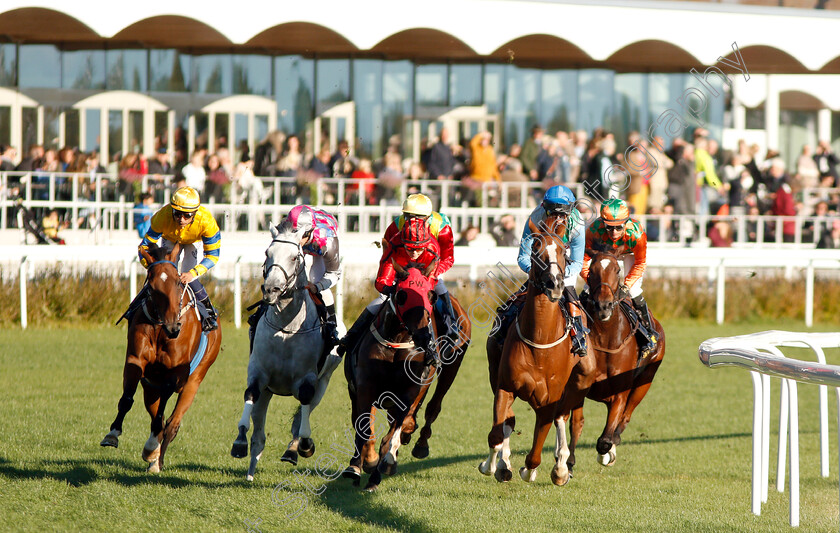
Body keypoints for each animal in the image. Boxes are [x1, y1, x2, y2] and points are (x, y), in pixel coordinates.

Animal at [101, 241, 223, 470]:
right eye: (151, 285)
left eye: (178, 283)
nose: (174, 328)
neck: (161, 328)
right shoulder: (135, 360)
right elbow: (127, 398)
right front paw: (112, 434)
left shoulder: (175, 371)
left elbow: (163, 415)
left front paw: (151, 448)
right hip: (150, 387)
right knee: (155, 413)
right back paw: (154, 455)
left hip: (194, 381)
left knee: (172, 423)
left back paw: (157, 459)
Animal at [230, 222, 342, 480]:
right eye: (267, 253)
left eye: (294, 257)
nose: (271, 289)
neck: (286, 328)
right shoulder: (258, 373)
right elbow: (249, 395)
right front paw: (239, 441)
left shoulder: (307, 379)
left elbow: (303, 410)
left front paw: (302, 445)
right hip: (268, 392)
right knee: (259, 436)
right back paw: (250, 472)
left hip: (324, 381)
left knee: (305, 412)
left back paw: (293, 448)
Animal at [480, 217, 596, 486]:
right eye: (535, 249)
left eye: (563, 251)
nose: (555, 284)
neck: (540, 340)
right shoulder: (505, 387)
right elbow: (497, 433)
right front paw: (493, 465)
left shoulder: (548, 401)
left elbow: (535, 452)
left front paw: (534, 470)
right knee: (509, 421)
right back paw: (504, 464)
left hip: (581, 380)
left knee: (562, 417)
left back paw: (561, 467)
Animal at [564, 251, 668, 472]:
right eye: (592, 269)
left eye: (617, 269)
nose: (603, 306)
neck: (605, 337)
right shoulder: (579, 385)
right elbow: (576, 423)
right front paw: (568, 463)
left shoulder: (620, 393)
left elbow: (605, 439)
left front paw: (607, 452)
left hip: (645, 381)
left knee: (625, 417)